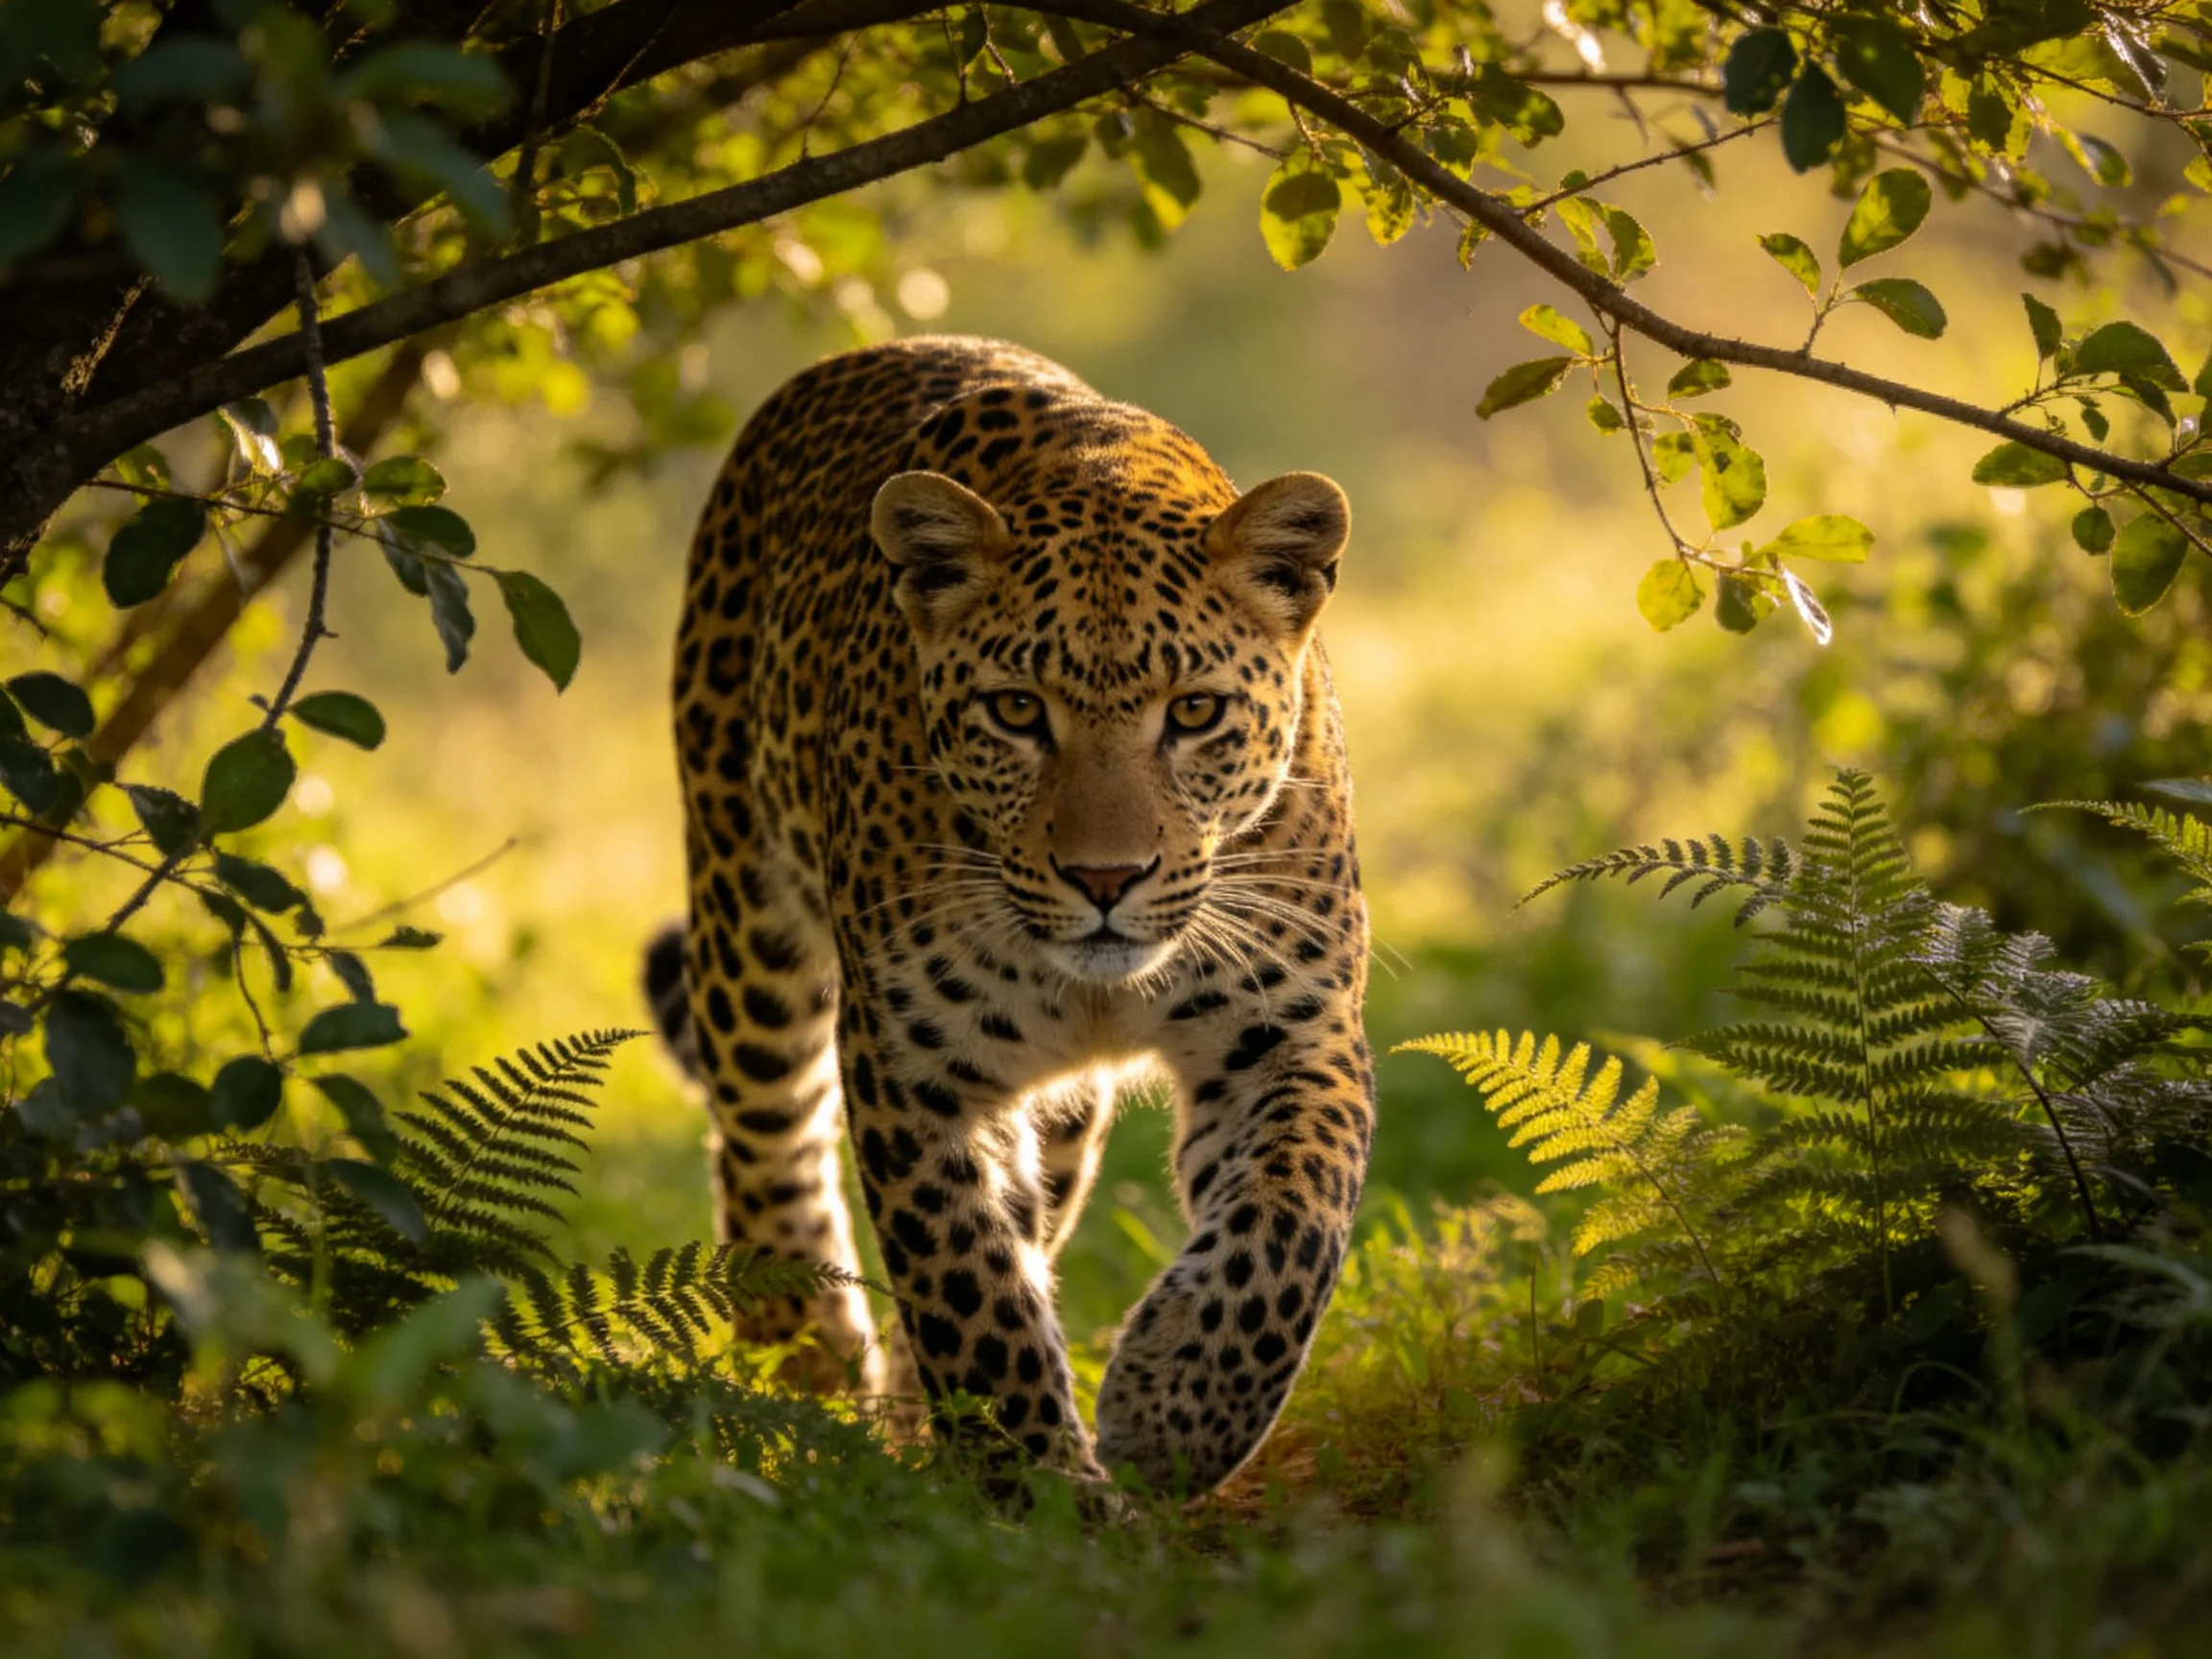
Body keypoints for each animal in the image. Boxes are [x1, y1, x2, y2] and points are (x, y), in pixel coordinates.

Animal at [643, 334, 1374, 1493]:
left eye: (1195, 711)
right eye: (1017, 711)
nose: (1106, 879)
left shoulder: (1290, 1027)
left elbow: (1291, 1222)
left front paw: (1174, 1411)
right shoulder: (914, 1066)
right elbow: (969, 1290)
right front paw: (1038, 1486)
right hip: (742, 902)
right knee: (764, 1140)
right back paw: (803, 1370)